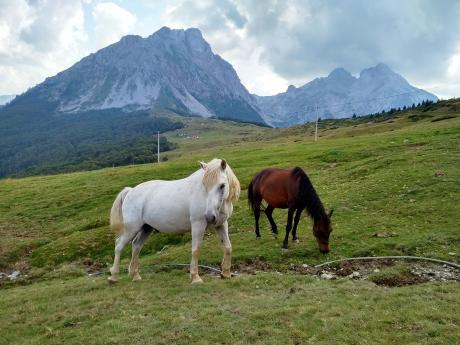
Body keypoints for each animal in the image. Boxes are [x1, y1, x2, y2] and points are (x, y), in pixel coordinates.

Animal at [108, 158, 241, 282]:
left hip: (146, 228)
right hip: (131, 229)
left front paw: (226, 274)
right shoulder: (198, 225)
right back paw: (113, 277)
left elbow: (228, 247)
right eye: (204, 185)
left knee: (136, 246)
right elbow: (196, 250)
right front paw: (195, 277)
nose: (209, 216)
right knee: (118, 246)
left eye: (222, 185)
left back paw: (135, 275)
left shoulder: (221, 224)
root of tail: (130, 191)